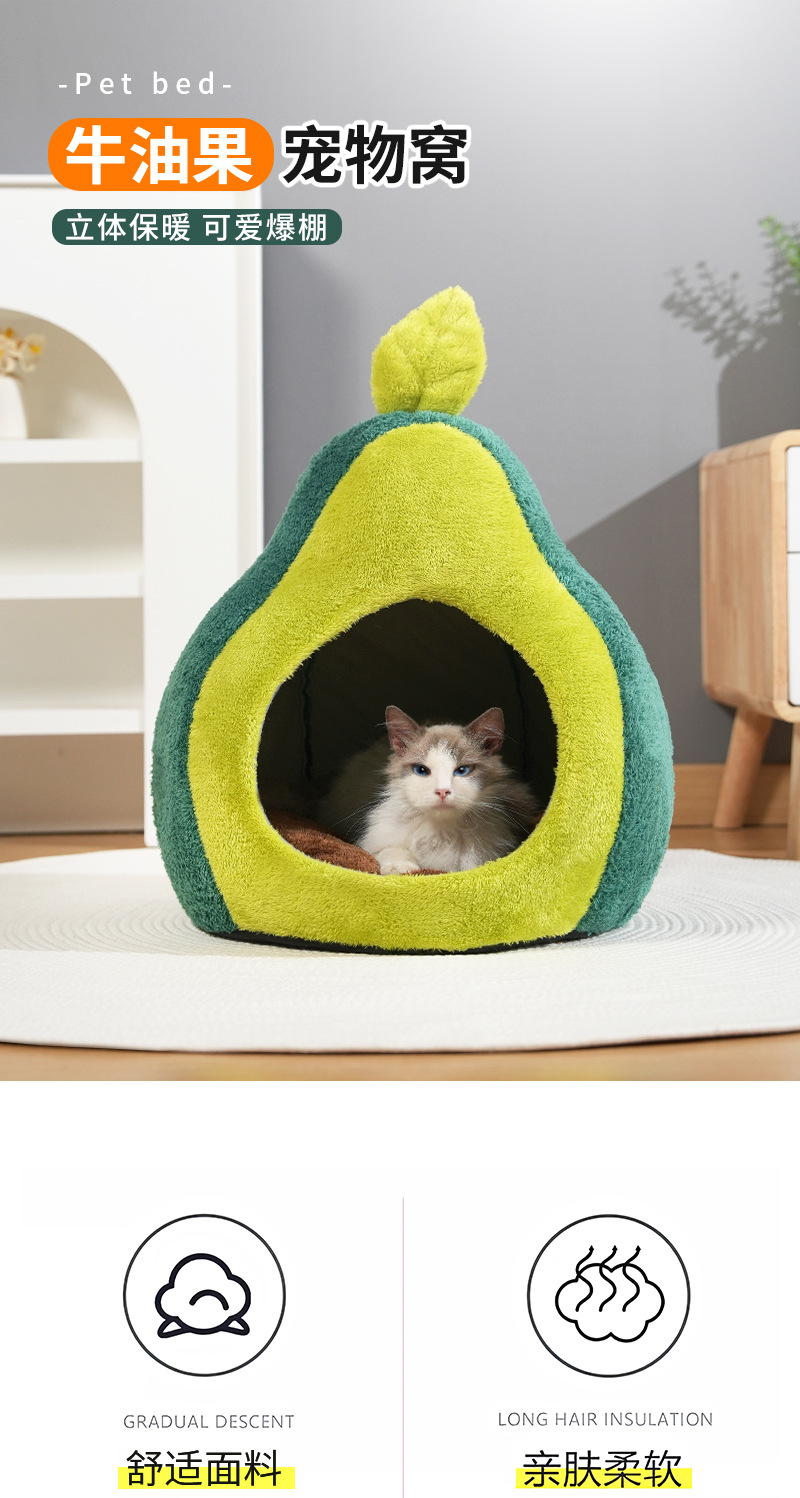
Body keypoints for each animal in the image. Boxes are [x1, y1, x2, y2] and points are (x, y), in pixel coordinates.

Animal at [319, 705, 541, 874]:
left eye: (462, 770)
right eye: (421, 770)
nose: (442, 791)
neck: (442, 831)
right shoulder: (378, 840)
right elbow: (392, 851)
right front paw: (402, 868)